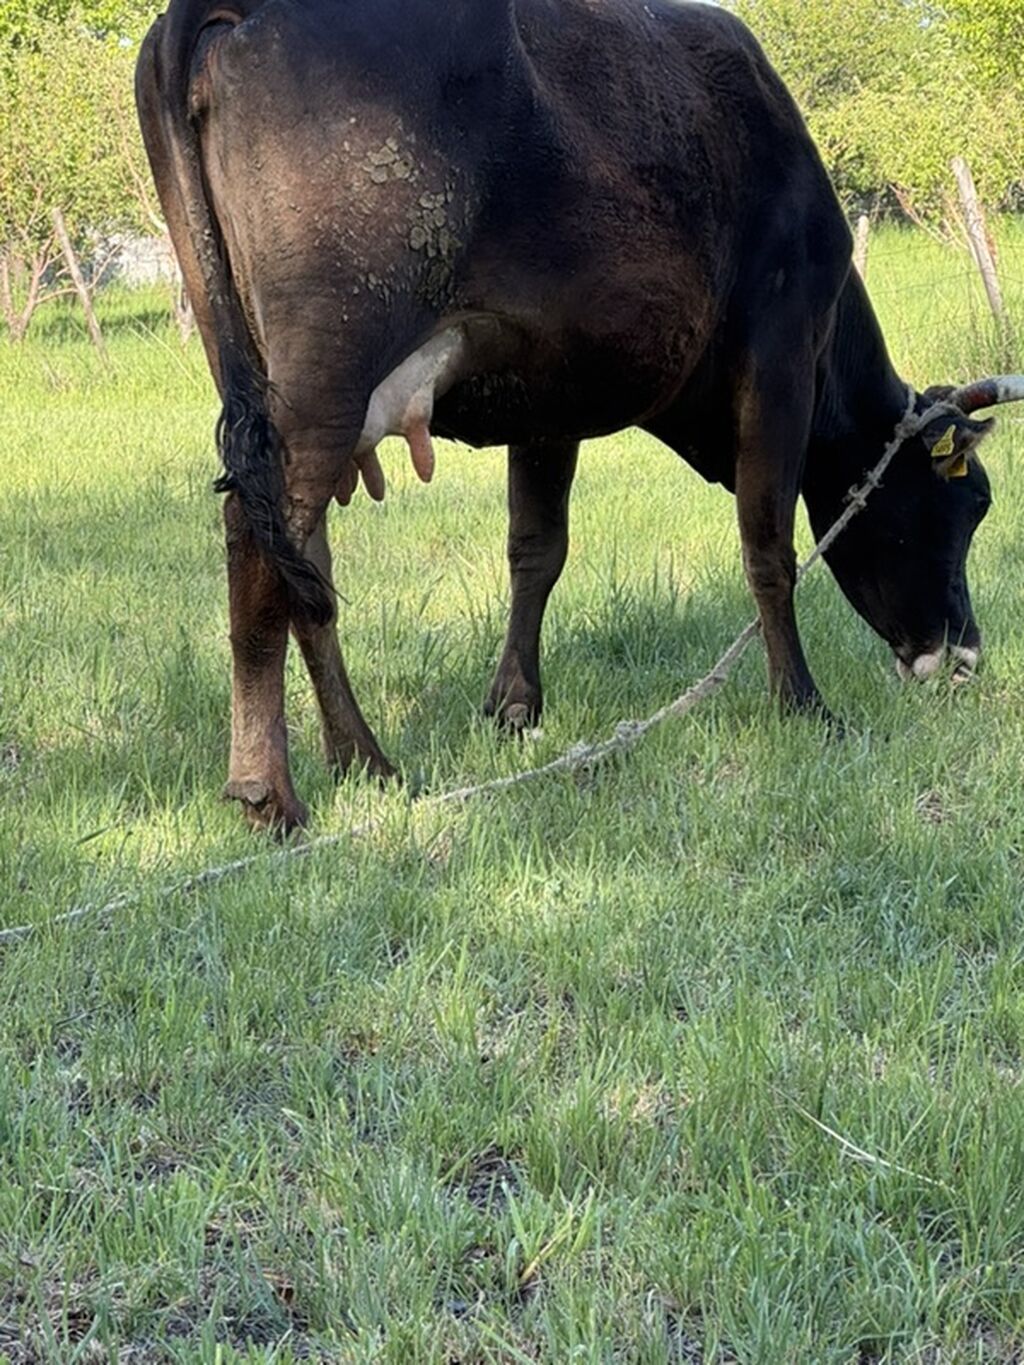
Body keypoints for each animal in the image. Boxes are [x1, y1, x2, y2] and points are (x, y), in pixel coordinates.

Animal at [136, 0, 1022, 832]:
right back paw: (270, 790)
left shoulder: (546, 401)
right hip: (328, 369)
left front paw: (514, 705)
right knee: (261, 538)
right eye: (968, 501)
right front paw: (803, 702)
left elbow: (536, 551)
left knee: (302, 559)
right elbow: (769, 545)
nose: (965, 652)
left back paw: (364, 757)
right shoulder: (780, 355)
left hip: (266, 367)